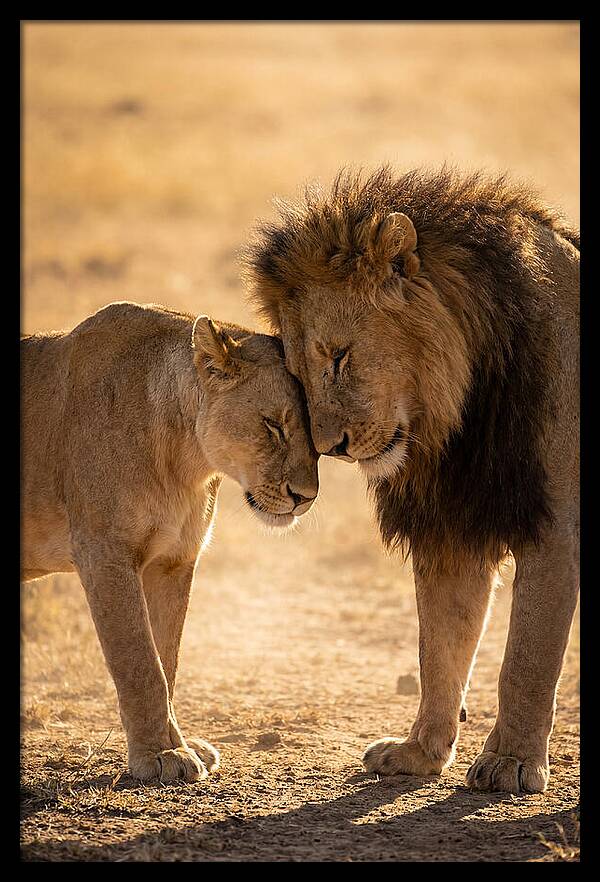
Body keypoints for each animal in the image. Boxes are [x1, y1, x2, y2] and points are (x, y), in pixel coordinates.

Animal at [21, 301, 319, 782]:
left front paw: (179, 743)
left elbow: (167, 659)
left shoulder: (174, 560)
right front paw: (160, 754)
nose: (305, 497)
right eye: (273, 425)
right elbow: (141, 663)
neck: (186, 460)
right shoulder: (104, 553)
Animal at [243, 165, 579, 794]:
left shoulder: (555, 527)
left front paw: (511, 761)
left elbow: (526, 658)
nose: (331, 448)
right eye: (297, 373)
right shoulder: (451, 529)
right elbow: (439, 647)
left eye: (339, 356)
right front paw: (420, 752)